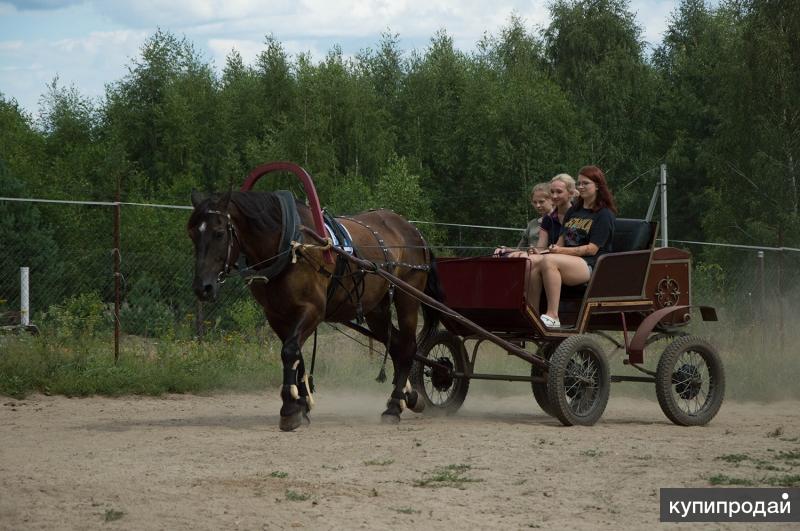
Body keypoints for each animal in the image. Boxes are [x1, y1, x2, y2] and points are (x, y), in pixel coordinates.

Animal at [188, 191, 444, 432]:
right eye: (192, 234)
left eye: (219, 233)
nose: (203, 287)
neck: (291, 247)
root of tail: (413, 230)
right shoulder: (276, 316)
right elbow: (297, 356)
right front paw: (302, 405)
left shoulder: (312, 310)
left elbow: (289, 351)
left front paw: (289, 409)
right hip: (376, 309)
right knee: (397, 345)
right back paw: (409, 397)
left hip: (407, 297)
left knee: (408, 346)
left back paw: (394, 407)